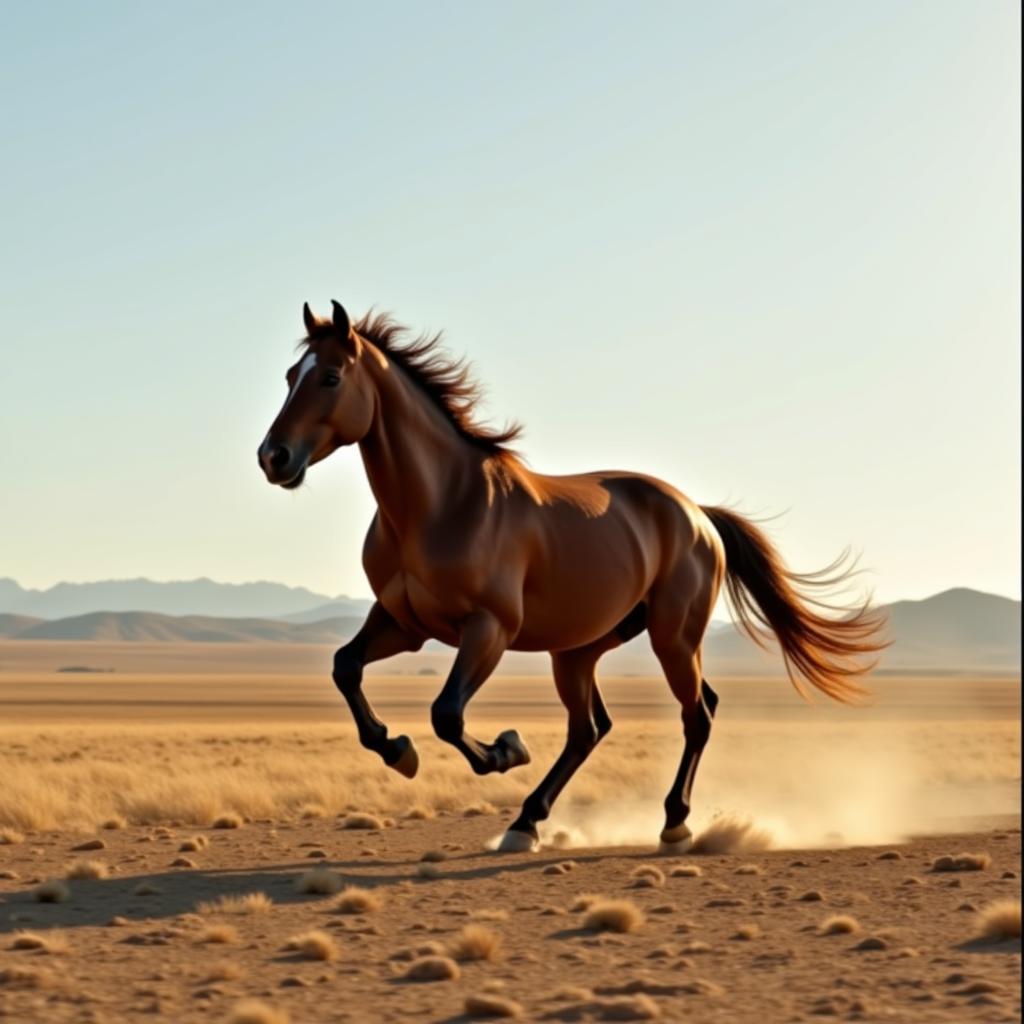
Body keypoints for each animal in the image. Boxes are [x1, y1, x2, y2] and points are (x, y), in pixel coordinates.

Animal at [258, 299, 888, 851]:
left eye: (331, 377)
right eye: (289, 375)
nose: (274, 458)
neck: (441, 504)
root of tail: (697, 514)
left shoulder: (488, 629)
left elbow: (446, 714)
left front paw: (507, 748)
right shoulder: (403, 623)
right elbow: (346, 668)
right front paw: (398, 750)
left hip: (673, 637)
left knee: (696, 714)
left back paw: (673, 824)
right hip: (580, 649)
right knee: (591, 728)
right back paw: (526, 823)